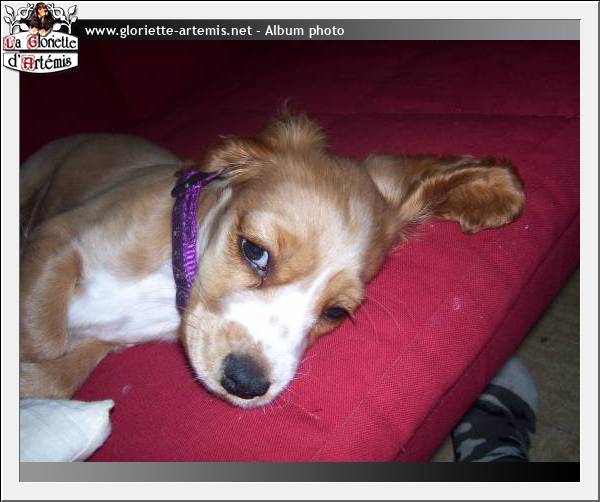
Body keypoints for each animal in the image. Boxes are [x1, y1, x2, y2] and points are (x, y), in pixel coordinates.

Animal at [19, 113, 524, 408]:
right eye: (254, 251)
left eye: (334, 312)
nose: (245, 383)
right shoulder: (57, 239)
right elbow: (44, 335)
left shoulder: (104, 340)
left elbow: (58, 372)